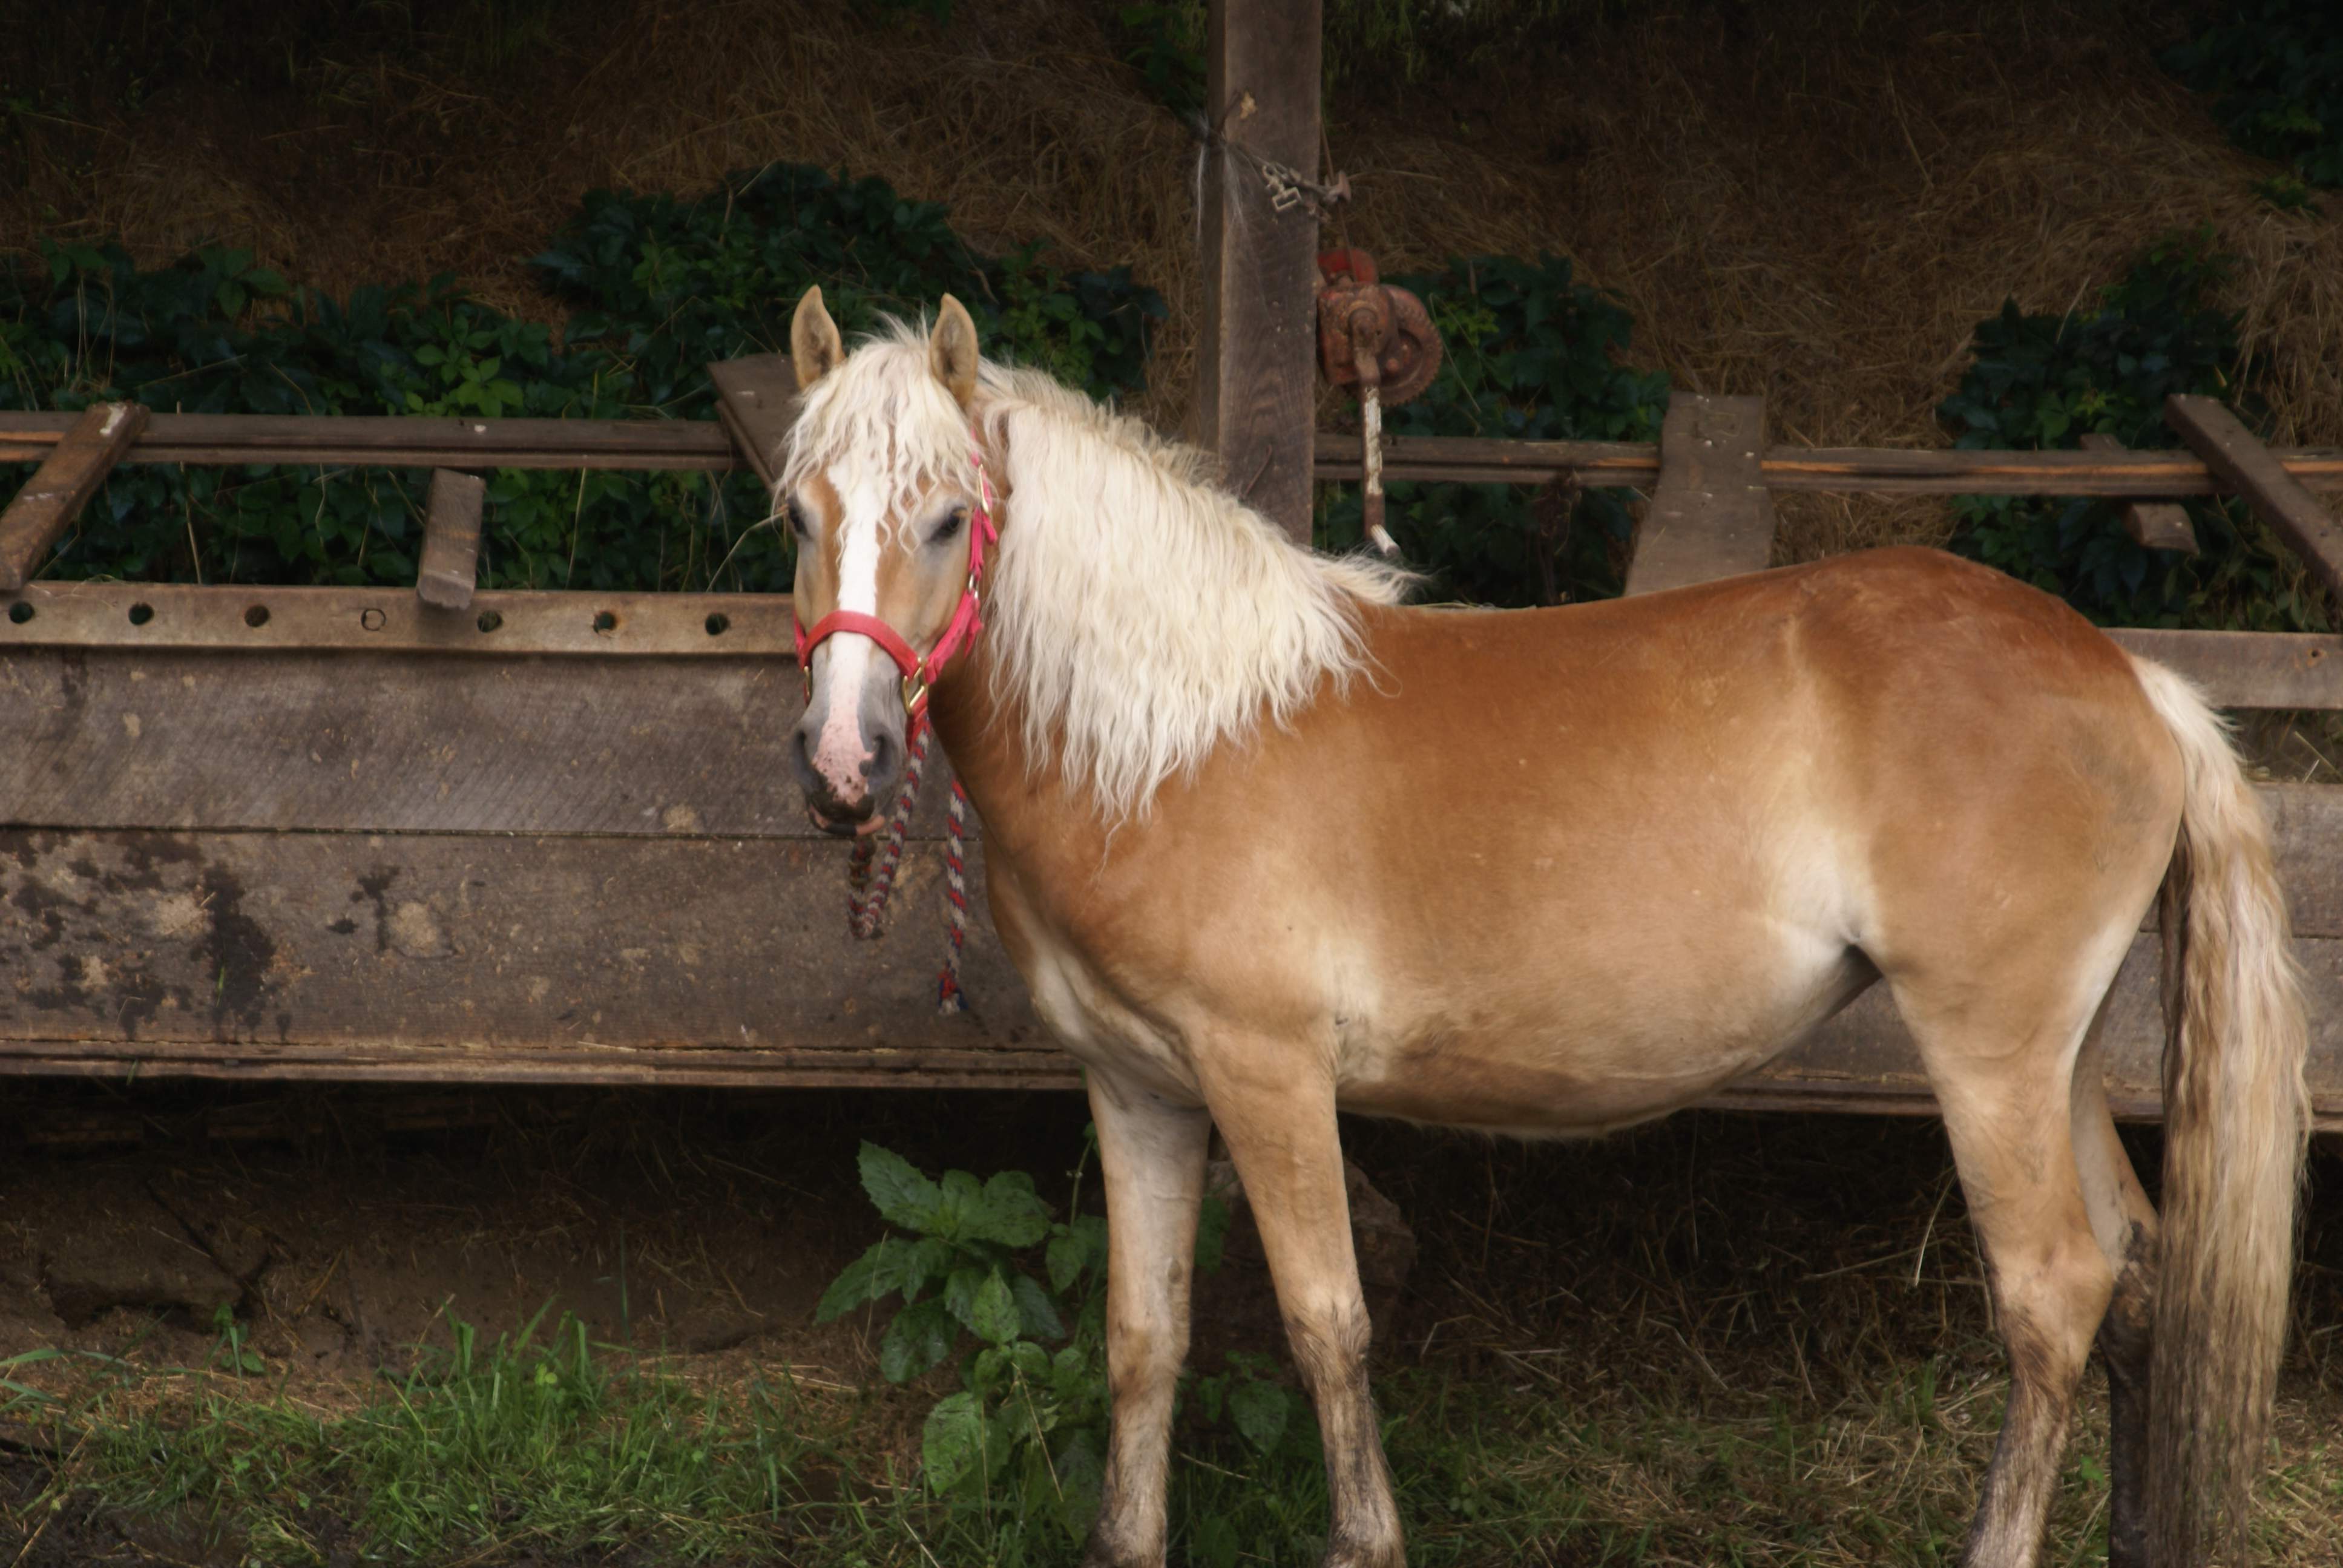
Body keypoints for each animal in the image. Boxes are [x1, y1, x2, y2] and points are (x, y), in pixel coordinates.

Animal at [776, 286, 2309, 1568]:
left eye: (948, 520)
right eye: (799, 515)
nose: (844, 761)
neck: (1173, 739)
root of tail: (2135, 679)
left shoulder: (1267, 1074)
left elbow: (1326, 1323)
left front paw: (1367, 1542)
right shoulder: (1140, 1086)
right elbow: (1144, 1339)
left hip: (1989, 1058)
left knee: (2053, 1294)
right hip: (2063, 1058)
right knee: (2139, 1278)